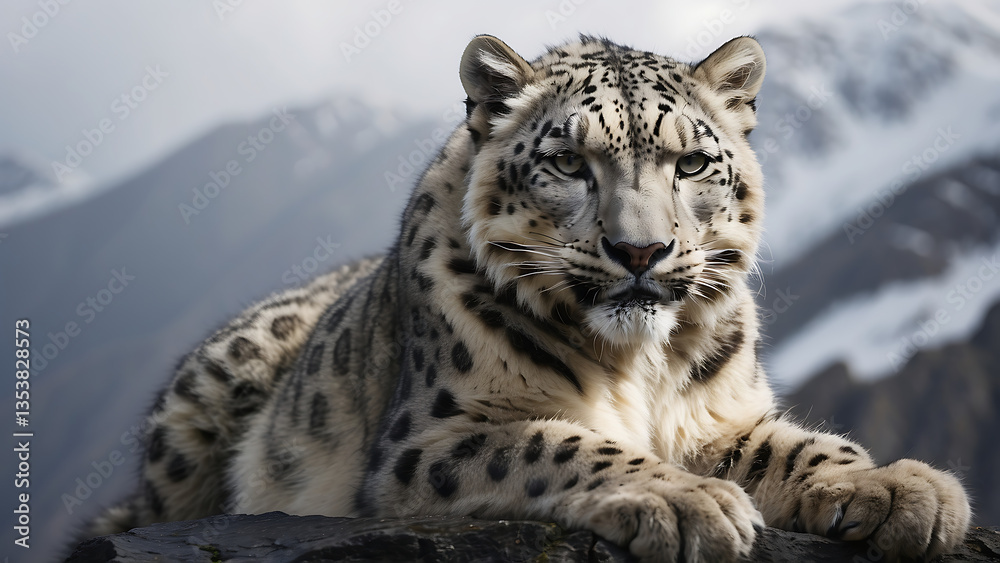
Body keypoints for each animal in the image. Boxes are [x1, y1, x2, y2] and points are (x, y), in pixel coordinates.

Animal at [83, 34, 971, 562]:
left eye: (690, 163)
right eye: (570, 162)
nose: (640, 251)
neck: (642, 367)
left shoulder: (719, 415)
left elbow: (790, 447)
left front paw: (901, 488)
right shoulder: (434, 436)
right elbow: (560, 443)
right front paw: (685, 500)